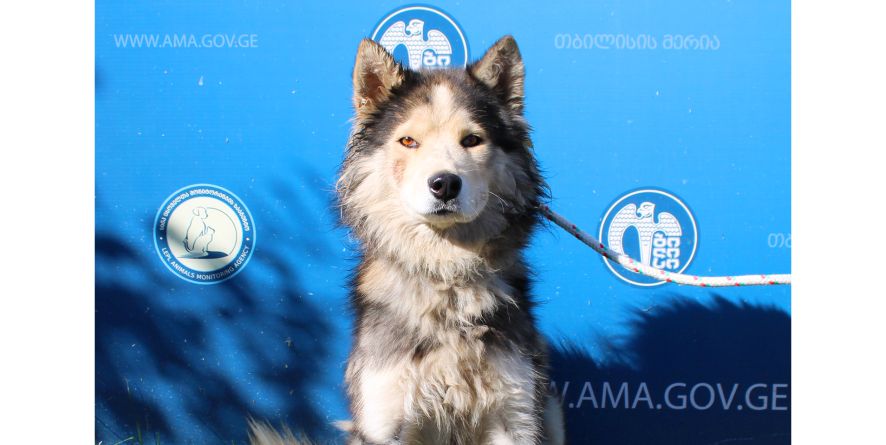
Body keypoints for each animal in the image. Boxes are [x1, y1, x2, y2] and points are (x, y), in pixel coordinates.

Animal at [248, 35, 568, 444]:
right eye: (408, 141)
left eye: (472, 140)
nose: (444, 184)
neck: (446, 277)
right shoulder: (384, 417)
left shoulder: (514, 415)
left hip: (550, 409)